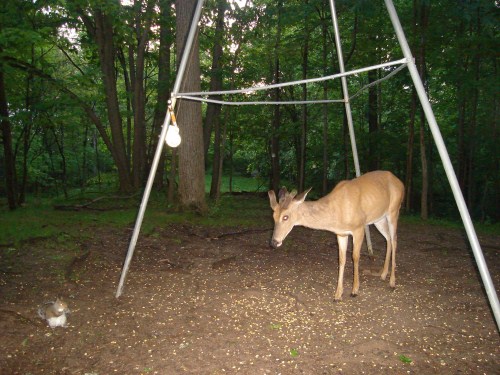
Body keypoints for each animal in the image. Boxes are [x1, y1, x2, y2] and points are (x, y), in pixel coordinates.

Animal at [268, 172, 404, 302]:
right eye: (273, 216)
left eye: (286, 217)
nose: (274, 242)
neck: (337, 212)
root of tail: (400, 182)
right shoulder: (341, 233)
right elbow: (341, 259)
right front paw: (338, 295)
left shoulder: (359, 227)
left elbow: (355, 257)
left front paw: (354, 290)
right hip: (379, 219)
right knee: (388, 239)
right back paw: (383, 274)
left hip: (394, 210)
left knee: (394, 239)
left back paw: (392, 282)